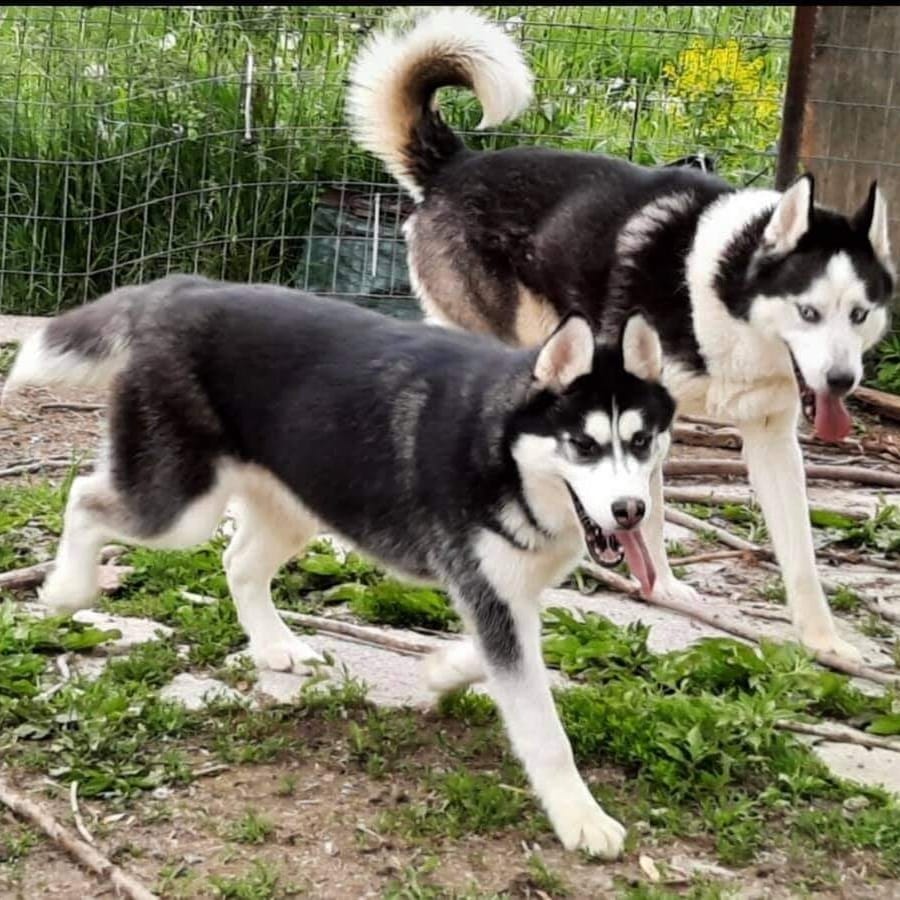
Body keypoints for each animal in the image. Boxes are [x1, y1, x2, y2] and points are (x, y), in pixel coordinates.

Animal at [1, 274, 676, 856]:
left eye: (642, 442)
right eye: (583, 446)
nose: (630, 510)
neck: (504, 451)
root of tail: (184, 287)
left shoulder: (505, 593)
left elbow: (492, 657)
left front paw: (441, 670)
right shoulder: (493, 593)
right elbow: (543, 728)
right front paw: (580, 817)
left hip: (294, 505)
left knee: (238, 562)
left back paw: (276, 645)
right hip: (177, 508)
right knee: (84, 498)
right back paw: (66, 589)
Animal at [348, 5, 896, 660]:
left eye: (859, 314)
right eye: (808, 312)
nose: (841, 382)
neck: (720, 288)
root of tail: (457, 165)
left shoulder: (771, 436)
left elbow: (801, 549)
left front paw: (825, 641)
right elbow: (649, 509)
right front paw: (656, 584)